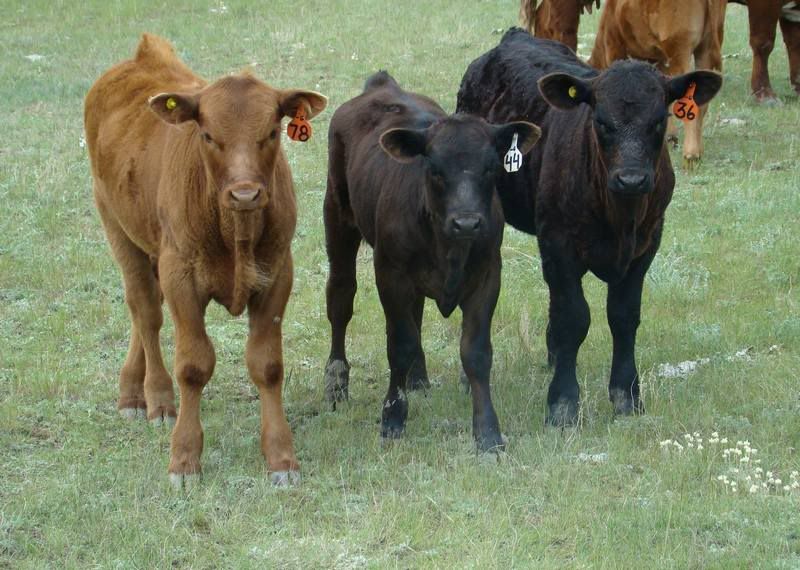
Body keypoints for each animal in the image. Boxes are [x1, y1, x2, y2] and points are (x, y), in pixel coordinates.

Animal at [84, 34, 326, 487]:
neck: (236, 232)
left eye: (272, 131)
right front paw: (184, 459)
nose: (245, 193)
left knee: (144, 311)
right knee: (145, 311)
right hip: (116, 226)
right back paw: (156, 398)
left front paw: (281, 458)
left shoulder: (277, 274)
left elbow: (267, 365)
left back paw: (132, 390)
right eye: (208, 135)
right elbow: (193, 365)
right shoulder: (180, 274)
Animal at [322, 71, 540, 451]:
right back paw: (337, 382)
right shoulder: (390, 273)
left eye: (490, 167)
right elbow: (399, 345)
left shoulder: (488, 276)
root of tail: (382, 85)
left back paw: (418, 378)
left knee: (416, 314)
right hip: (338, 218)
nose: (466, 222)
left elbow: (475, 352)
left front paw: (488, 432)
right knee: (341, 298)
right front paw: (392, 419)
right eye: (435, 168)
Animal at [457, 29, 721, 426]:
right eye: (601, 121)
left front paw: (627, 397)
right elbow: (574, 317)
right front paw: (563, 403)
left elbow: (623, 316)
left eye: (659, 121)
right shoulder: (559, 243)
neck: (620, 217)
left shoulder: (647, 244)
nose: (631, 179)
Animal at [588, 0, 727, 169]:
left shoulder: (614, 49)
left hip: (680, 52)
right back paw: (698, 152)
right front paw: (669, 137)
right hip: (706, 48)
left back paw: (691, 155)